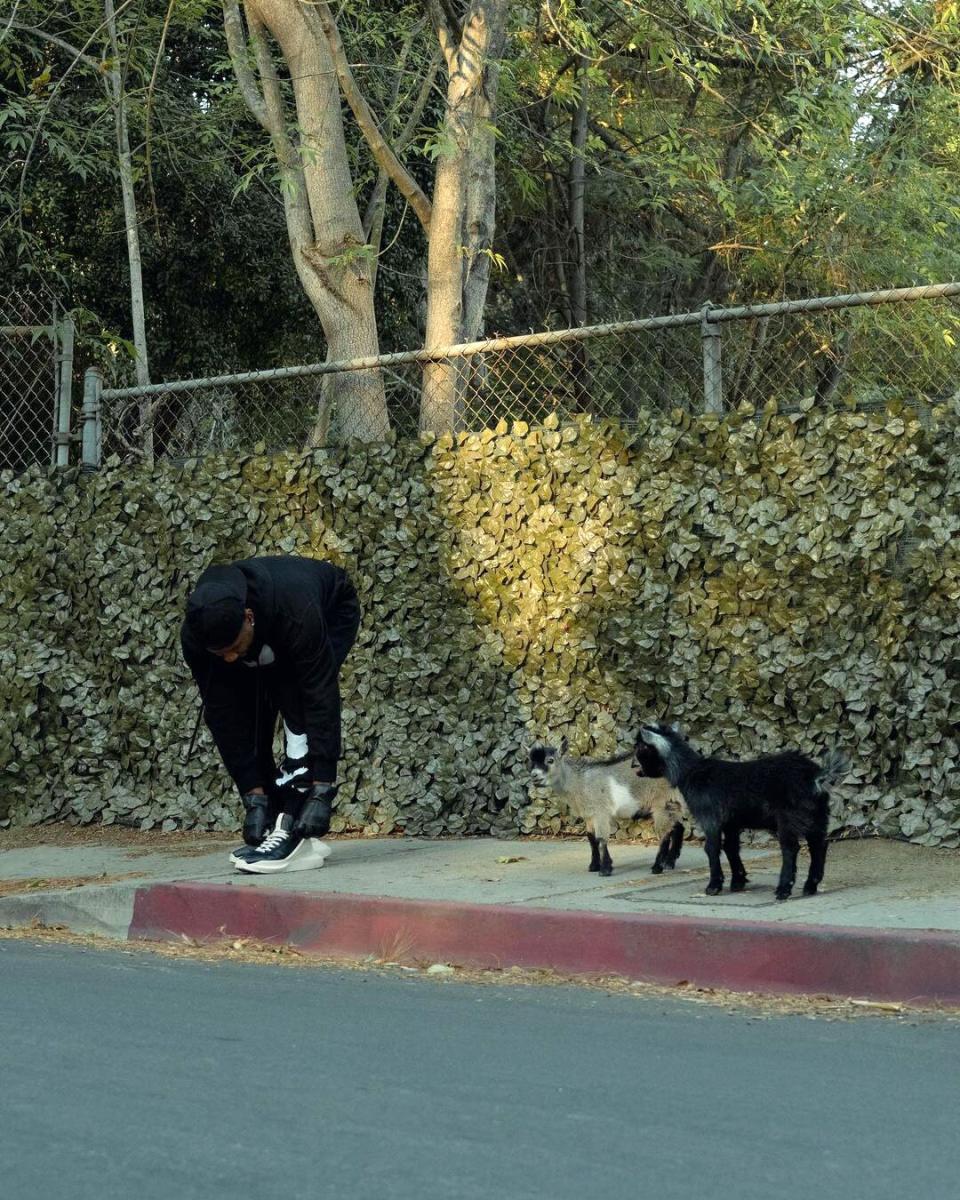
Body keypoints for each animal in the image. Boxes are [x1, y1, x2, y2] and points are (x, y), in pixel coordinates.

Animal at [528, 734, 686, 878]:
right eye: (531, 762)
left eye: (550, 760)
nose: (534, 776)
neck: (579, 781)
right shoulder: (589, 814)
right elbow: (591, 838)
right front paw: (594, 866)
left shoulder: (601, 812)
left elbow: (601, 838)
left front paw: (604, 869)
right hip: (673, 803)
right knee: (677, 827)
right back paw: (669, 862)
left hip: (662, 803)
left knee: (664, 833)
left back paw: (657, 867)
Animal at [638, 720, 849, 902]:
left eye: (640, 750)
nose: (638, 772)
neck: (691, 772)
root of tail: (816, 776)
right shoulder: (731, 823)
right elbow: (731, 848)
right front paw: (738, 881)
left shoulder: (710, 817)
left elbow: (712, 848)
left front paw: (714, 886)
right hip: (817, 815)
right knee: (819, 845)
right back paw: (810, 886)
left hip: (789, 818)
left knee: (791, 848)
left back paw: (783, 890)